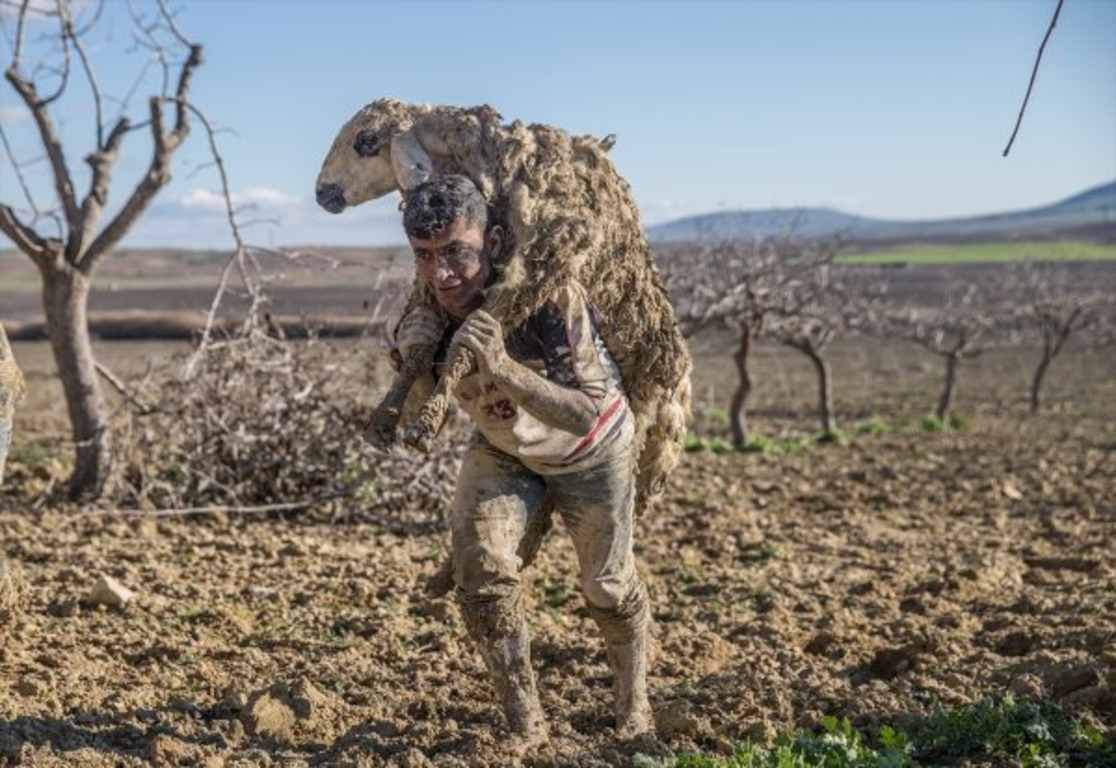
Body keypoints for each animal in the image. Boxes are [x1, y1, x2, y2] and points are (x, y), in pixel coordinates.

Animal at [314, 96, 691, 515]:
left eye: (366, 140)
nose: (321, 193)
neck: (495, 166)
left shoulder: (542, 261)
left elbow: (463, 345)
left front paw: (426, 422)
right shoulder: (430, 287)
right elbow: (420, 350)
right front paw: (384, 419)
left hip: (647, 430)